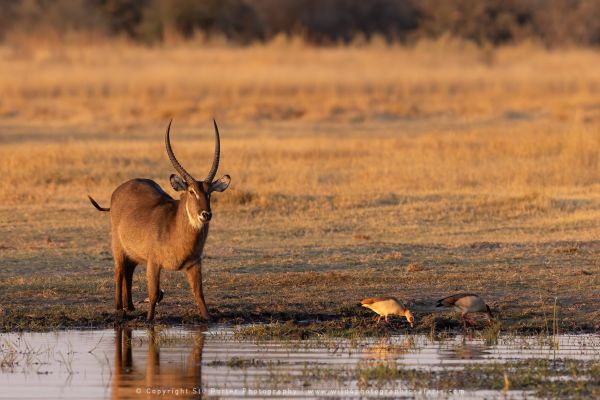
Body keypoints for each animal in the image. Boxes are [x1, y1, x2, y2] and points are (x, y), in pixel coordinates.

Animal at [88, 120, 230, 320]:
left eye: (209, 192)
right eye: (191, 191)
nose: (206, 214)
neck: (174, 227)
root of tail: (120, 189)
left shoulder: (195, 263)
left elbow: (199, 294)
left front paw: (208, 319)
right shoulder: (154, 263)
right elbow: (154, 293)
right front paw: (149, 320)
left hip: (134, 253)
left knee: (129, 271)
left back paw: (130, 306)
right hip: (119, 248)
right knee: (119, 272)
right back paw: (119, 308)